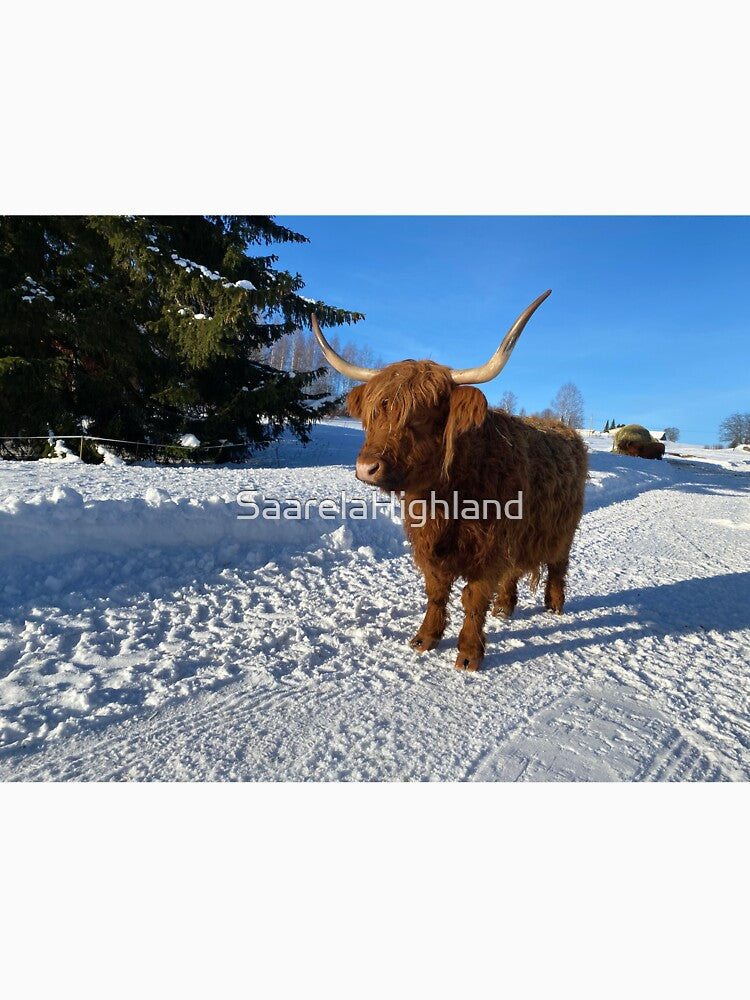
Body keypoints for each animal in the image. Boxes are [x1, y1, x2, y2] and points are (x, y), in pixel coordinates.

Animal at [311, 291, 588, 671]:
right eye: (376, 412)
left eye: (422, 416)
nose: (366, 467)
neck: (447, 499)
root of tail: (566, 431)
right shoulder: (430, 544)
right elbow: (436, 591)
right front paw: (425, 637)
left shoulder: (490, 548)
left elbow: (473, 598)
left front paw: (469, 653)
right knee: (515, 570)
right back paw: (505, 606)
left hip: (564, 528)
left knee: (559, 563)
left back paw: (555, 604)